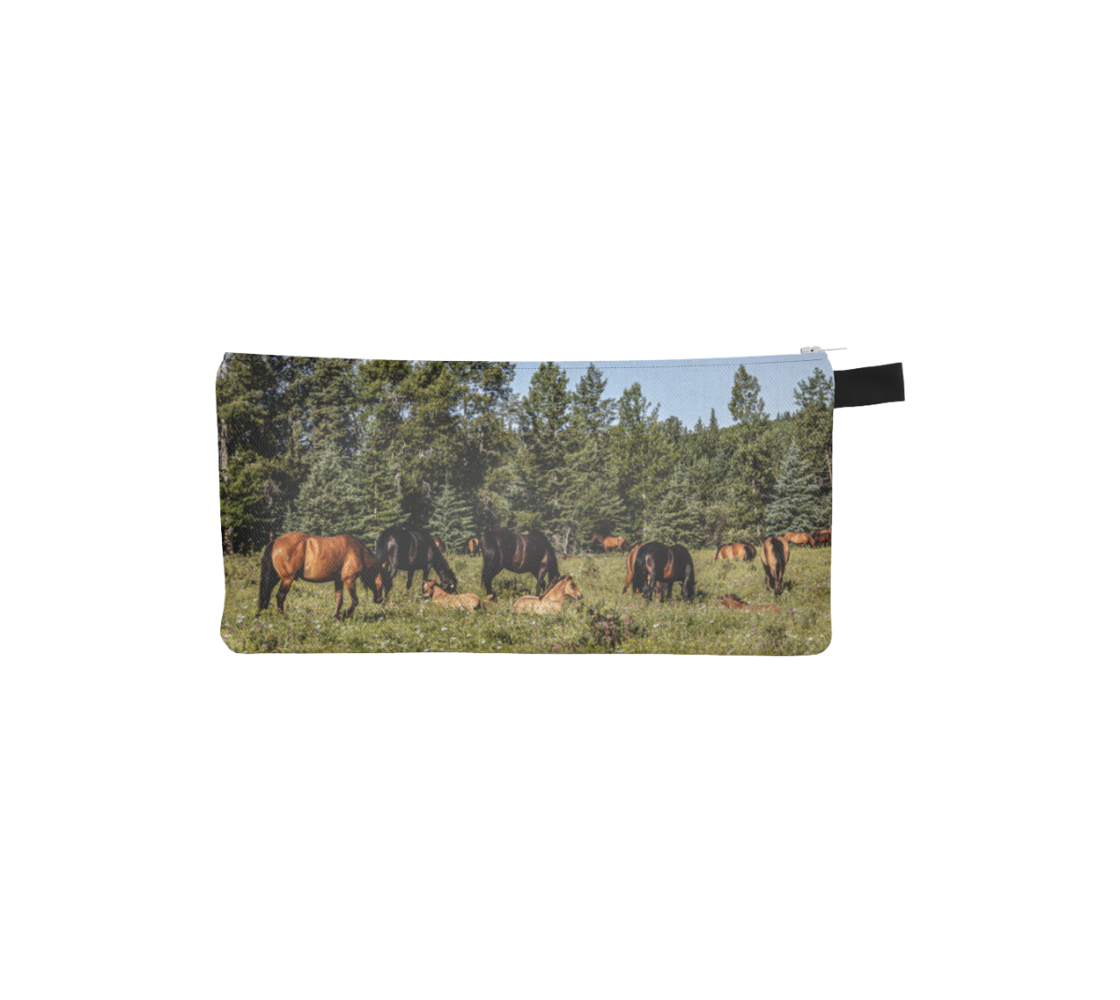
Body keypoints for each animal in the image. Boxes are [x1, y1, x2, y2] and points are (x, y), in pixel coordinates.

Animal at [256, 535, 387, 622]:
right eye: (383, 581)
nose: (380, 599)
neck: (357, 551)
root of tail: (275, 541)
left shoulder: (338, 580)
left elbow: (339, 599)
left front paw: (336, 617)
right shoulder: (349, 579)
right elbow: (355, 600)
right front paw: (345, 615)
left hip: (275, 577)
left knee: (266, 594)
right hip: (287, 578)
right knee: (280, 596)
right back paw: (282, 617)